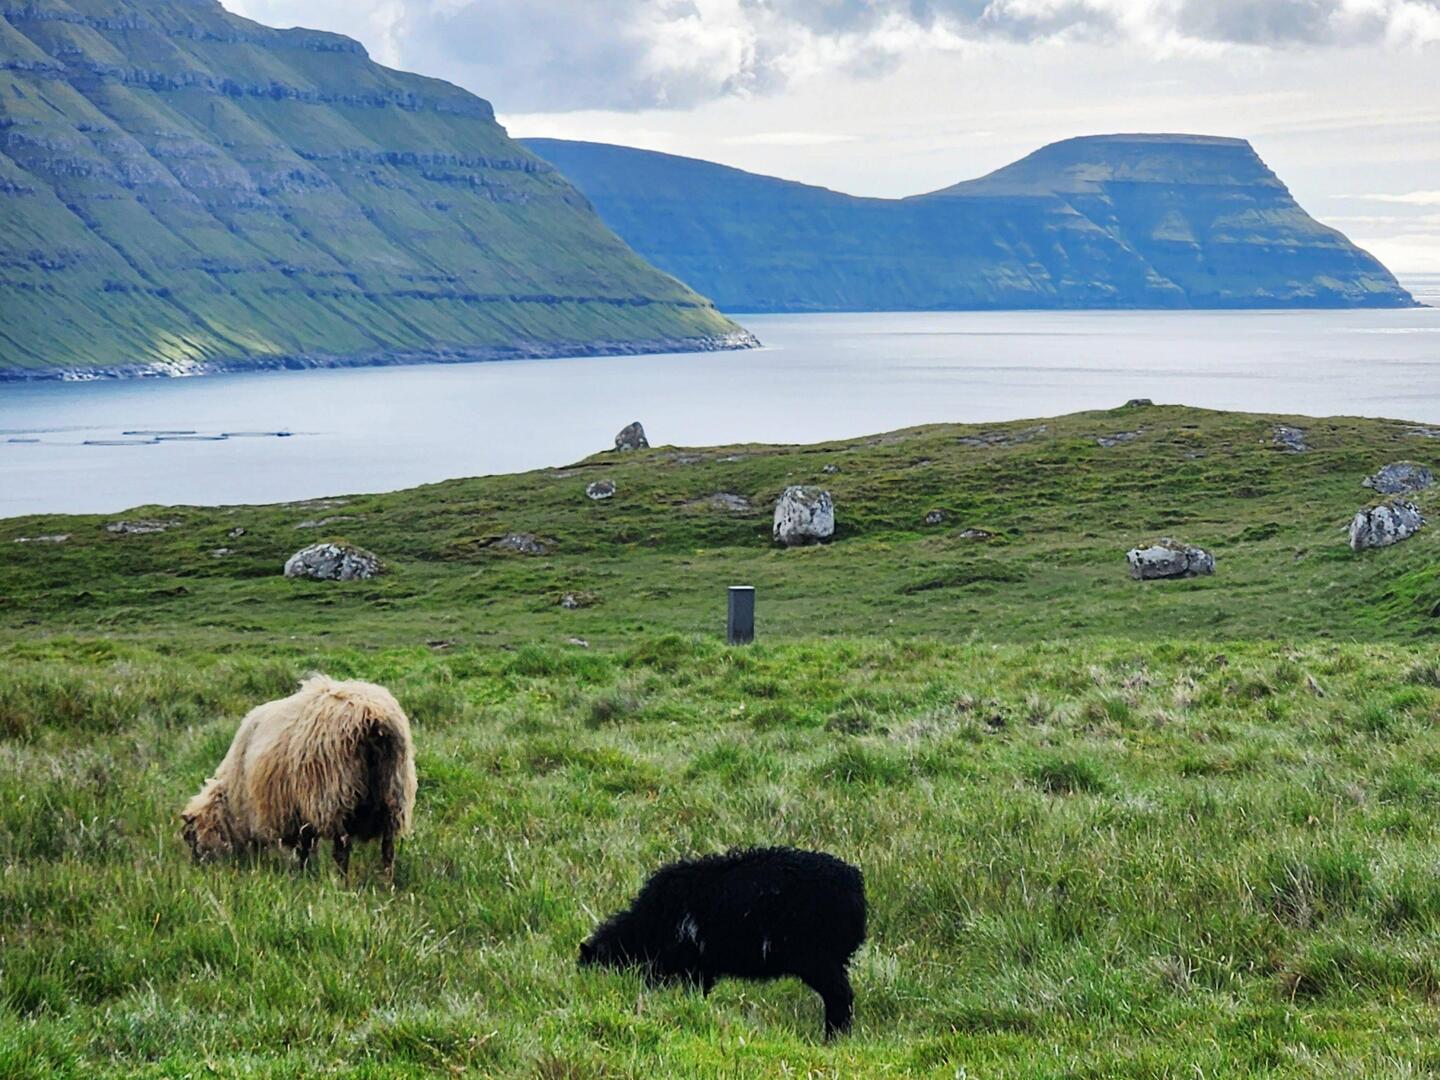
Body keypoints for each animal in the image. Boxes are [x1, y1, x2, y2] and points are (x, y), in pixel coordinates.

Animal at [181, 675, 417, 877]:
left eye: (191, 837)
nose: (195, 867)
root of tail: (373, 718)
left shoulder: (289, 811)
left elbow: (301, 849)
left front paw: (298, 873)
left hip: (335, 796)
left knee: (343, 848)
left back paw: (341, 883)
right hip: (394, 795)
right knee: (388, 849)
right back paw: (386, 882)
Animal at [579, 847, 866, 1039]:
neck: (643, 928)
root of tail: (855, 889)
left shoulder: (689, 964)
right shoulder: (700, 968)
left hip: (819, 958)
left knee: (839, 997)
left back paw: (833, 1038)